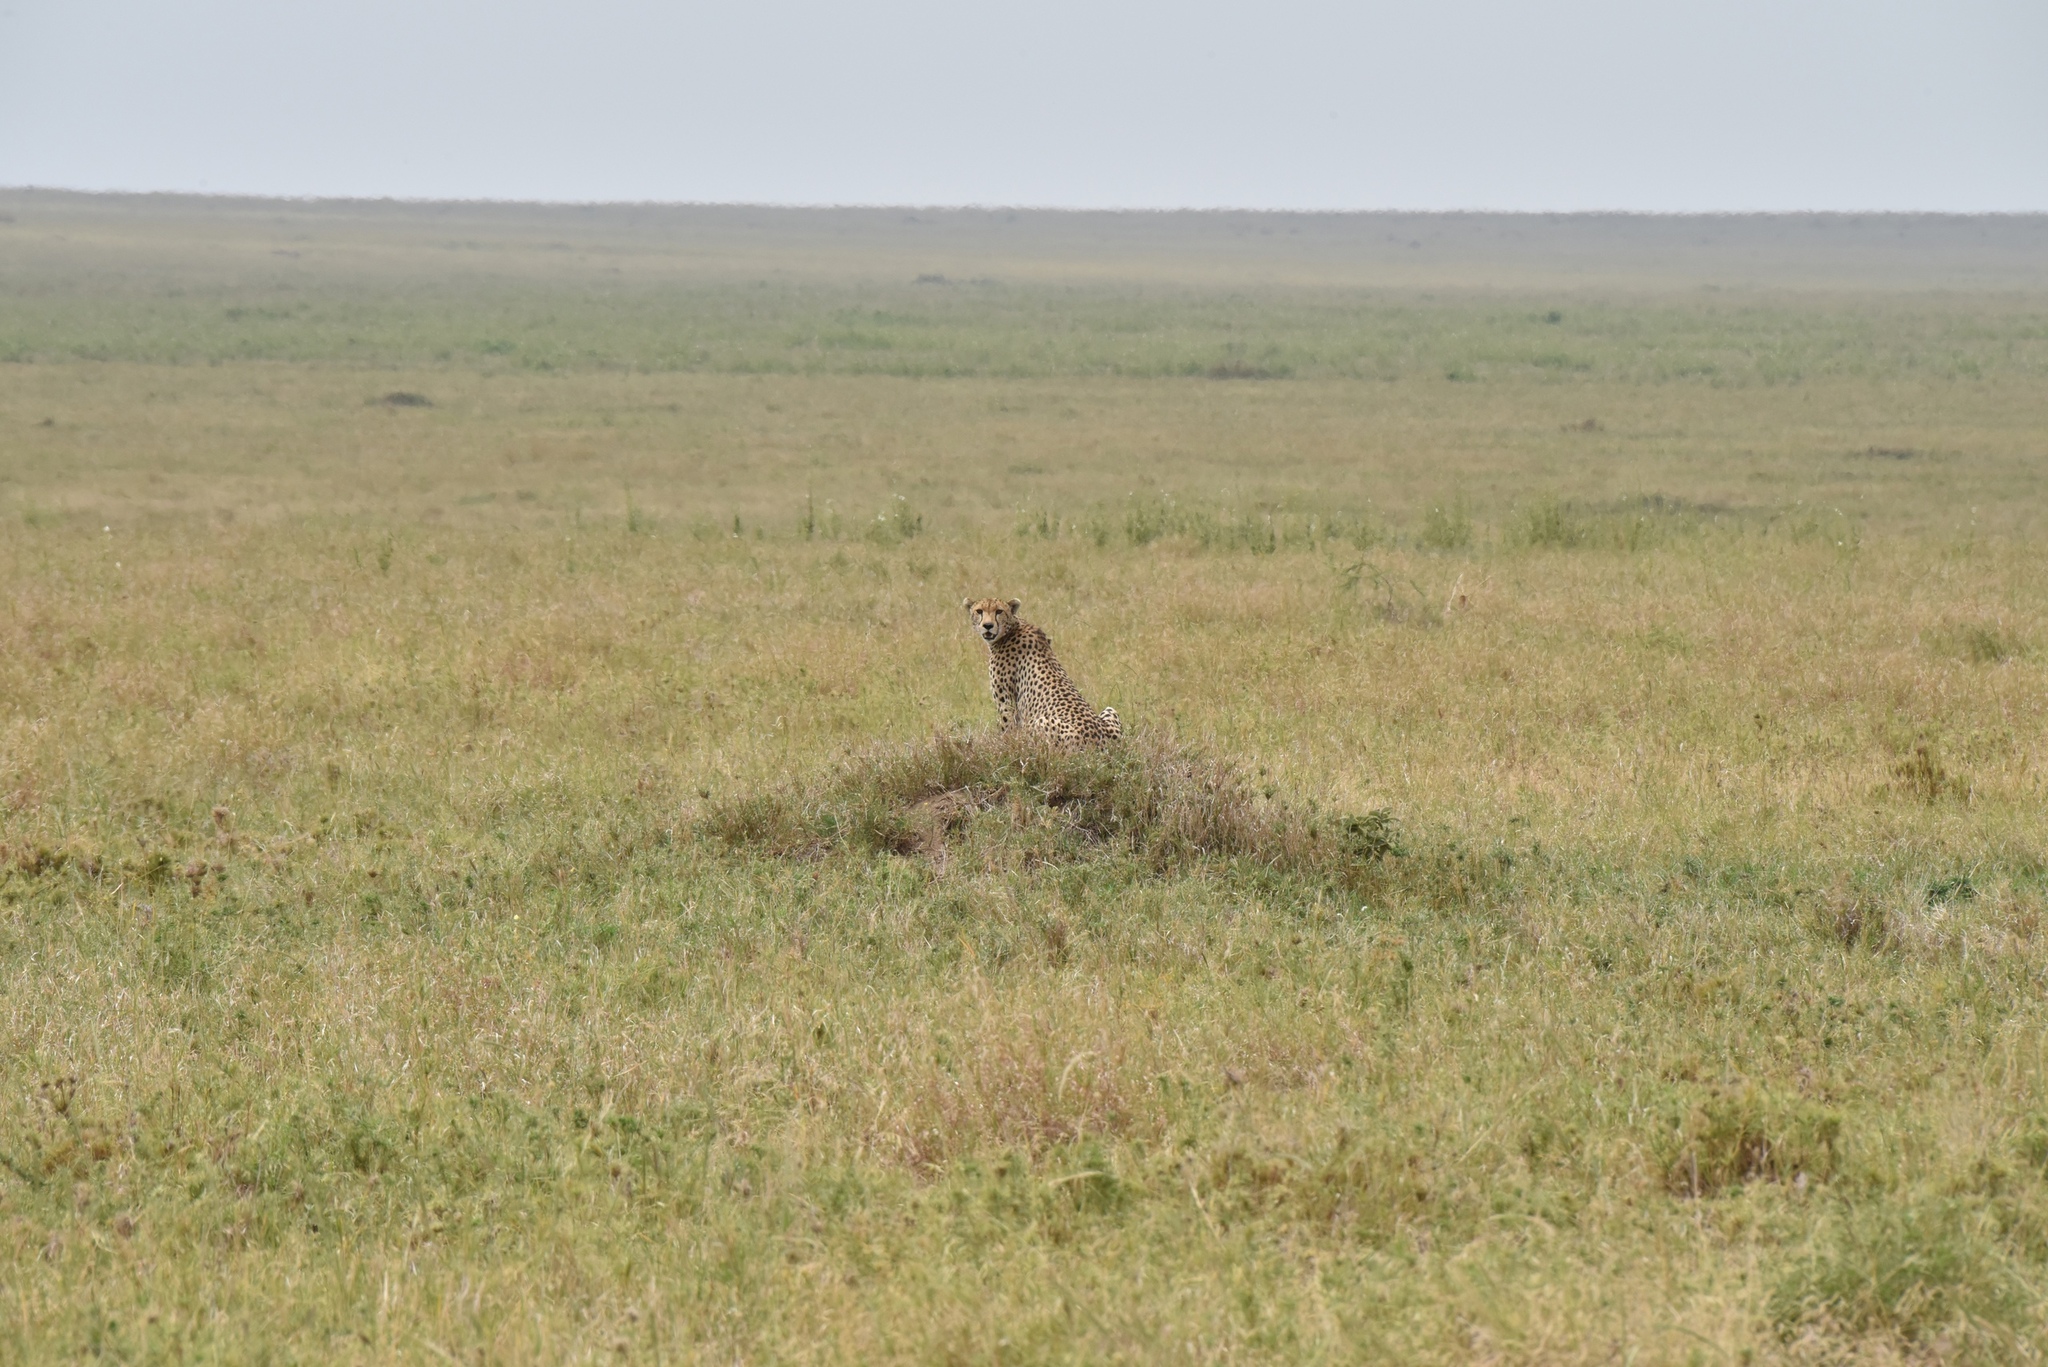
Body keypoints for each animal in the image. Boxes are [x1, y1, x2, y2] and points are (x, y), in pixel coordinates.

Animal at [958, 598, 1122, 750]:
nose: (988, 626)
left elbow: (1007, 730)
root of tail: (1100, 745)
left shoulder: (1006, 702)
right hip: (1110, 710)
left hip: (1040, 722)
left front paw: (1004, 748)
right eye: (979, 611)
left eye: (999, 611)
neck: (1011, 628)